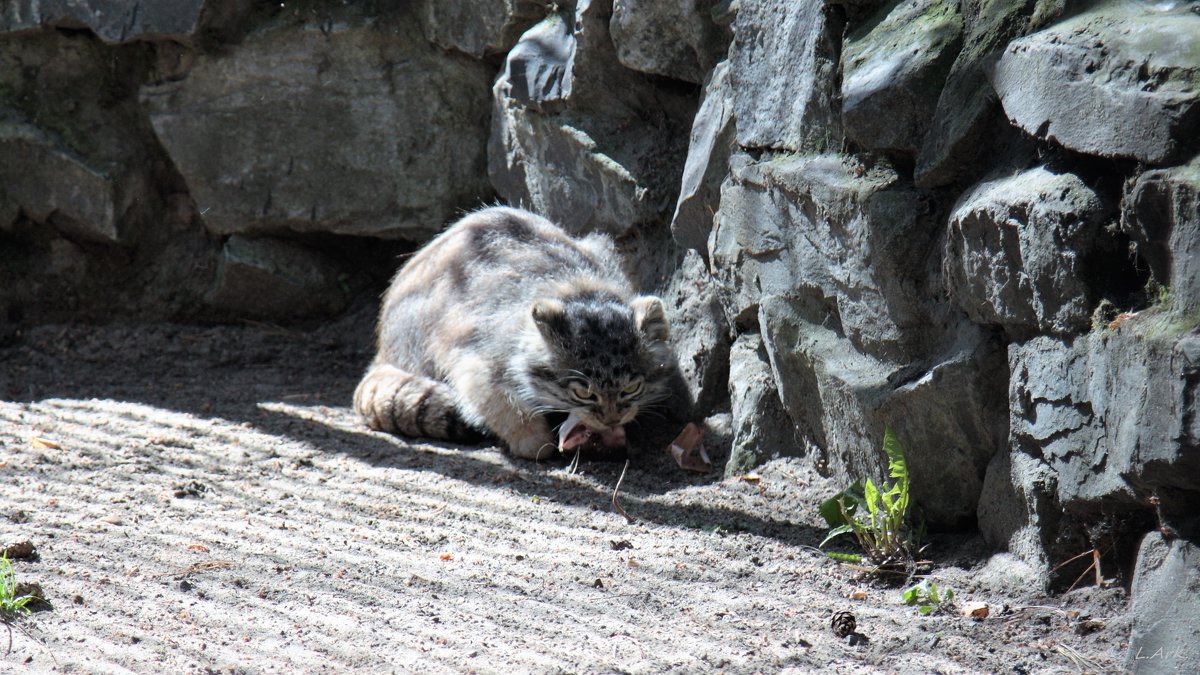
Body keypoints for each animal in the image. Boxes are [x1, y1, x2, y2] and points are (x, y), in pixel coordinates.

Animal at [352, 205, 686, 456]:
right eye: (583, 392)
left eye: (631, 388)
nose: (612, 418)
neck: (579, 288)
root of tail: (384, 346)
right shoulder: (472, 358)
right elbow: (501, 404)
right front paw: (536, 443)